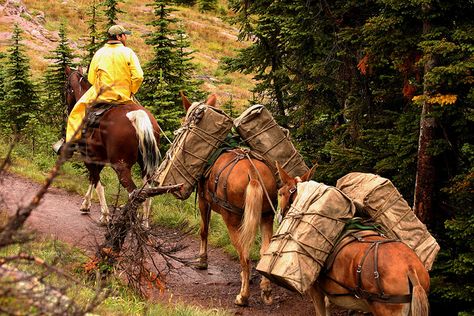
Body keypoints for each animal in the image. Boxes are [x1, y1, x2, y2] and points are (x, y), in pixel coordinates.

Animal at [65, 65, 161, 226]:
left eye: (66, 87)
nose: (67, 107)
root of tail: (137, 116)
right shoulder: (99, 158)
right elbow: (93, 179)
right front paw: (86, 205)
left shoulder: (89, 157)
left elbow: (97, 182)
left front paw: (104, 215)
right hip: (146, 166)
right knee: (146, 191)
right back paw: (144, 223)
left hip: (120, 166)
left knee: (133, 192)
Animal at [181, 94, 278, 306]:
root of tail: (252, 173)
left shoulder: (203, 201)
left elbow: (203, 230)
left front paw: (202, 261)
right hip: (266, 216)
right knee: (263, 252)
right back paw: (266, 291)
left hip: (232, 219)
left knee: (245, 256)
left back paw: (243, 296)